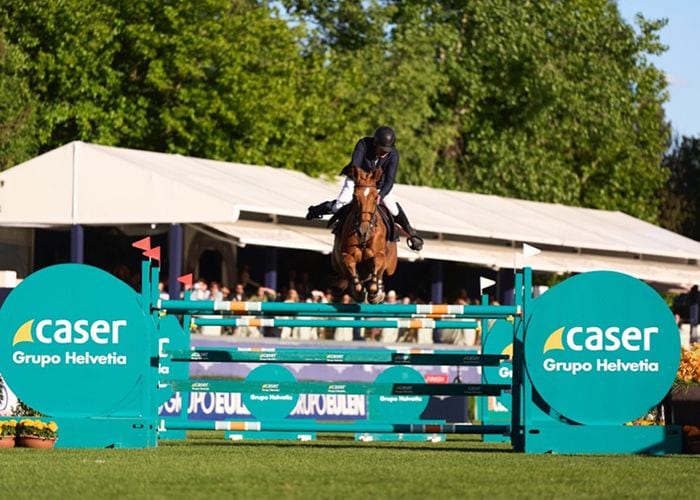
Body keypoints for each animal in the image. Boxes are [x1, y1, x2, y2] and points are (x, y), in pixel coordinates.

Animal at [330, 166, 396, 302]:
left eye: (375, 197)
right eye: (355, 197)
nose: (363, 231)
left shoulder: (380, 255)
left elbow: (377, 261)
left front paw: (374, 292)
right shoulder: (345, 255)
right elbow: (350, 264)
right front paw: (358, 292)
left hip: (391, 266)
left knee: (380, 274)